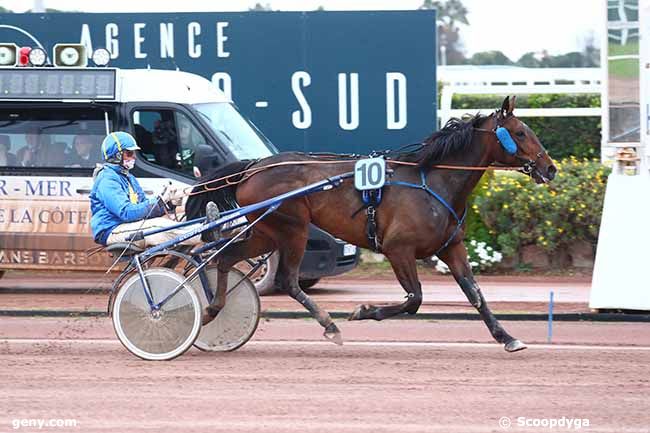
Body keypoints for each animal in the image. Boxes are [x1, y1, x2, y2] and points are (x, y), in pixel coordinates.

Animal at [185, 97, 556, 352]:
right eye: (521, 133)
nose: (550, 168)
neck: (434, 181)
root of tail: (253, 167)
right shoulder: (398, 249)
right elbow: (414, 299)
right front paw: (363, 311)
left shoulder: (452, 247)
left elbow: (475, 295)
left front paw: (506, 336)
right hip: (292, 229)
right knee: (287, 280)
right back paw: (330, 325)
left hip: (267, 232)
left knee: (225, 258)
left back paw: (213, 309)